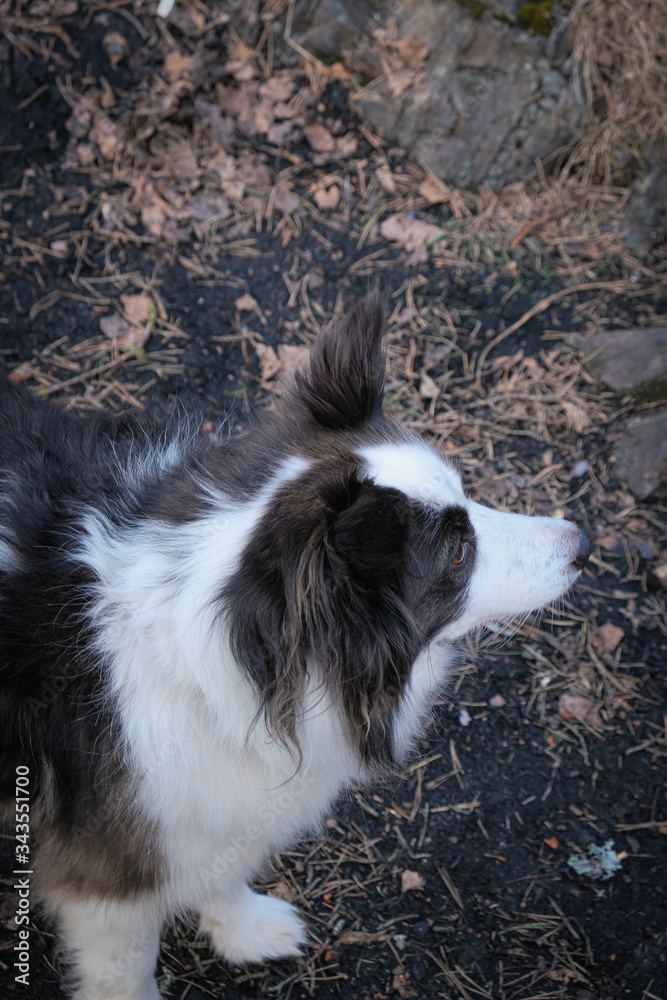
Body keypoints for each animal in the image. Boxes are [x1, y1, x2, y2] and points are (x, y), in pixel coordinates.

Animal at [0, 292, 589, 999]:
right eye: (457, 553)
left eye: (466, 499)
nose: (583, 544)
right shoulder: (110, 880)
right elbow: (128, 969)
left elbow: (223, 866)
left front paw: (243, 928)